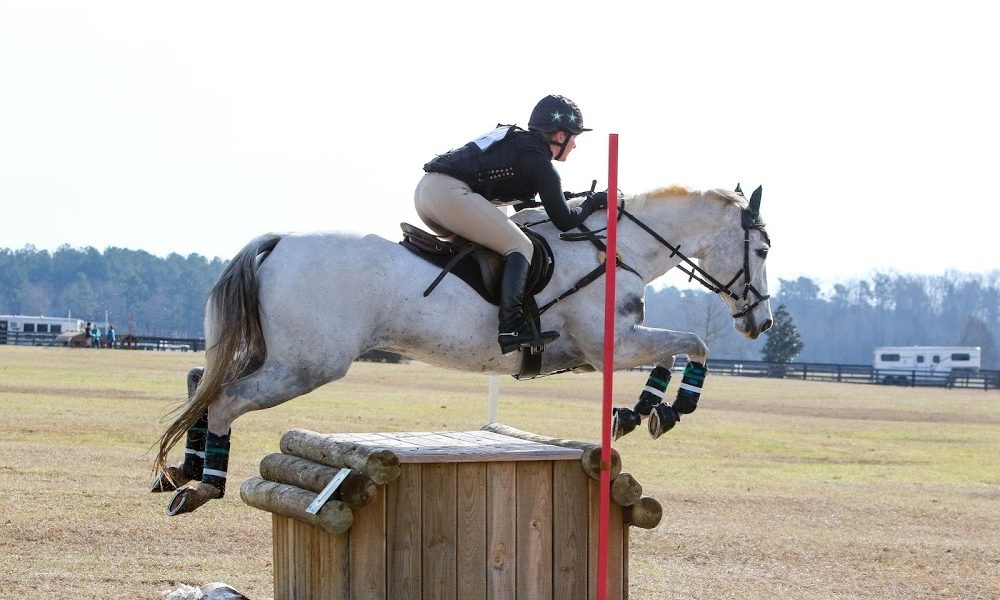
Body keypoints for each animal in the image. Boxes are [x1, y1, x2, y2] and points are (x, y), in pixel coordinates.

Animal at [150, 184, 772, 516]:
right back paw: (204, 484)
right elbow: (694, 344)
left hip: (282, 356)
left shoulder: (606, 350)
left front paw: (638, 412)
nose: (760, 322)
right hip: (306, 364)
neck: (615, 248)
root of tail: (278, 241)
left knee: (200, 380)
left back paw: (181, 470)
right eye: (763, 248)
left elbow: (672, 353)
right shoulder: (607, 348)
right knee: (225, 399)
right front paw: (673, 407)